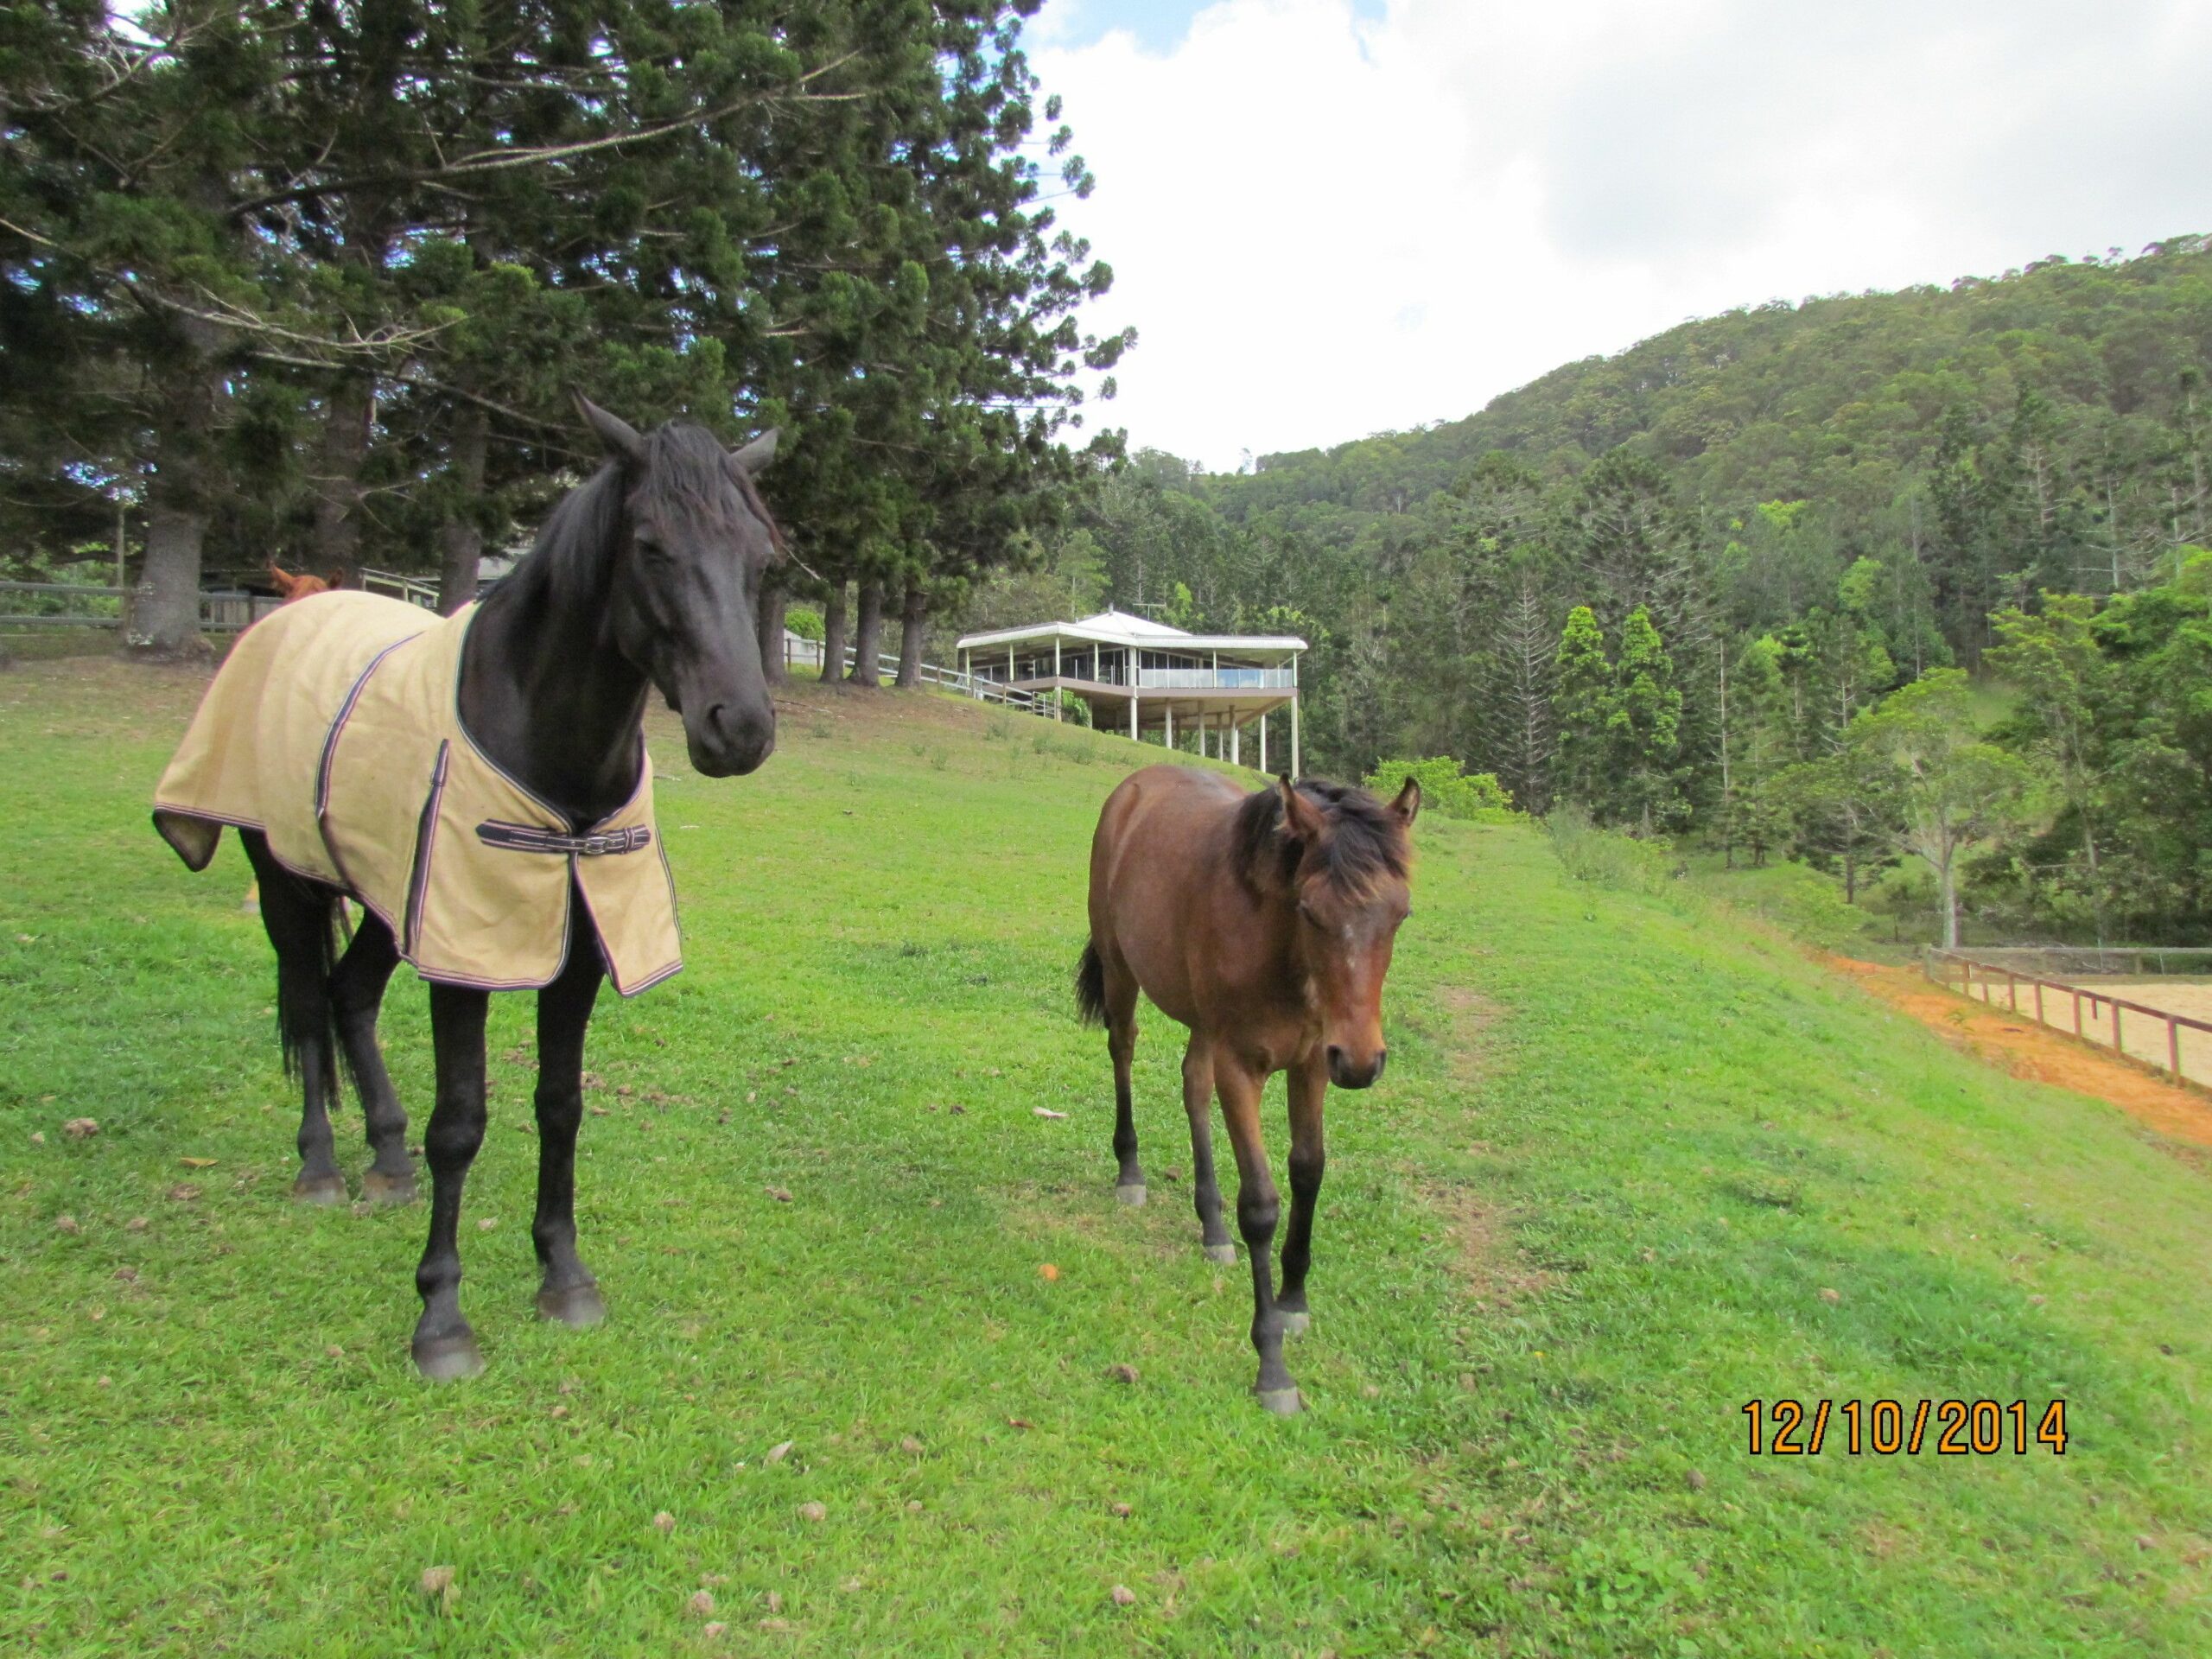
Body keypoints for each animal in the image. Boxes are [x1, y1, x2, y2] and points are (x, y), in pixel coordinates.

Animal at [233, 400, 783, 1380]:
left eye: (761, 558)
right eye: (650, 546)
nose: (741, 729)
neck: (545, 739)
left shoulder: (581, 955)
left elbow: (560, 1108)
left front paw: (563, 1275)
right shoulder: (467, 956)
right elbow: (461, 1123)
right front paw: (441, 1319)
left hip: (391, 900)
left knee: (347, 996)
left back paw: (386, 1163)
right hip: (286, 881)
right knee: (304, 1002)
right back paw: (320, 1168)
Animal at [1084, 769, 1424, 1415]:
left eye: (1401, 914)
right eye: (1311, 911)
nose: (1362, 1063)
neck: (1277, 944)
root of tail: (1133, 787)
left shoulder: (1312, 1062)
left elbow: (1309, 1170)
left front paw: (1293, 1300)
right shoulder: (1242, 1068)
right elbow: (1263, 1205)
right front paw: (1272, 1367)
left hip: (1204, 1024)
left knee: (1192, 1085)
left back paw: (1212, 1228)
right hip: (1121, 972)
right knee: (1124, 1050)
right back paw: (1130, 1172)